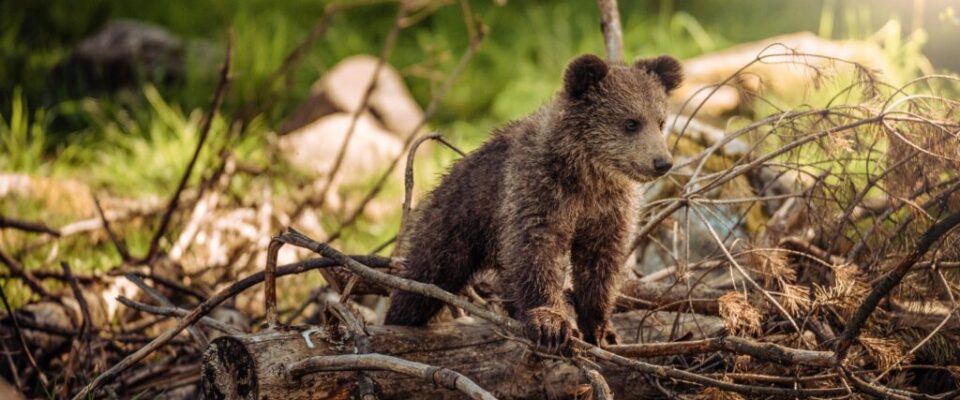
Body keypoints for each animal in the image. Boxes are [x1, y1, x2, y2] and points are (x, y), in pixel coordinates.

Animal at [384, 53, 682, 349]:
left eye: (660, 121)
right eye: (631, 122)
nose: (662, 162)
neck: (587, 175)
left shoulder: (607, 209)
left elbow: (600, 263)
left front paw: (601, 329)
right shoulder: (538, 191)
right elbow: (536, 251)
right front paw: (550, 323)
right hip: (455, 222)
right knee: (425, 277)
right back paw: (398, 319)